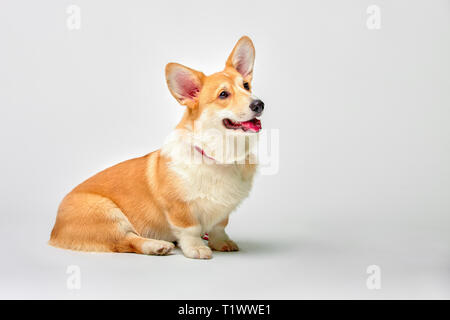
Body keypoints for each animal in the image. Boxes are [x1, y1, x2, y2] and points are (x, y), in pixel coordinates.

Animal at [50, 36, 264, 258]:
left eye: (246, 86)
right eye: (223, 94)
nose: (259, 104)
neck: (219, 155)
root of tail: (54, 230)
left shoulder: (222, 212)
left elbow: (219, 227)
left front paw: (222, 242)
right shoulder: (180, 209)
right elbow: (190, 230)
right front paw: (196, 248)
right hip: (108, 214)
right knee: (125, 241)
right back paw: (156, 245)